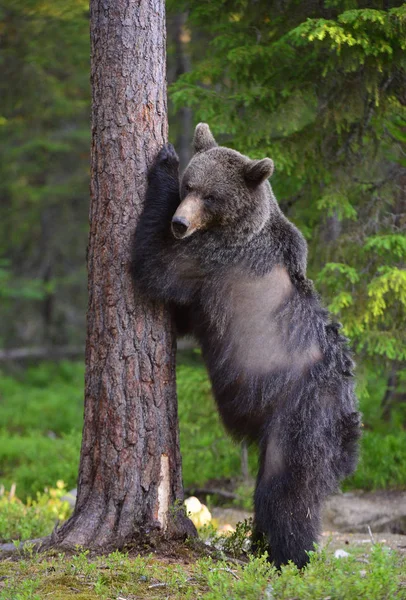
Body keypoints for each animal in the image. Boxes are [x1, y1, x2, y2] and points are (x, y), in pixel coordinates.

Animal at [132, 123, 360, 568]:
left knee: (286, 491)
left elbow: (155, 266)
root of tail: (349, 425)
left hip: (302, 417)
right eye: (191, 185)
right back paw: (260, 545)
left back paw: (287, 555)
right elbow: (177, 307)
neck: (237, 226)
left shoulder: (215, 261)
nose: (180, 223)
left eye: (210, 195)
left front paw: (164, 163)